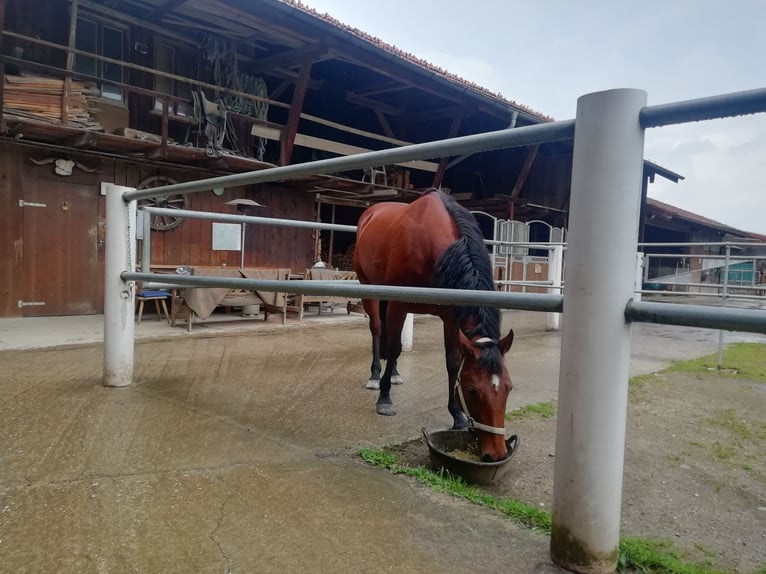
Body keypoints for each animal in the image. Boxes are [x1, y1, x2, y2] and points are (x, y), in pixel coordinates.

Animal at [354, 189, 516, 464]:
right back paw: (376, 376)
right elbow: (394, 348)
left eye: (508, 387)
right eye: (472, 389)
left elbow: (452, 361)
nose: (496, 454)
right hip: (370, 290)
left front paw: (457, 415)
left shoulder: (451, 317)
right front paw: (384, 399)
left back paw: (394, 374)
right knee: (378, 330)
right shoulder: (398, 303)